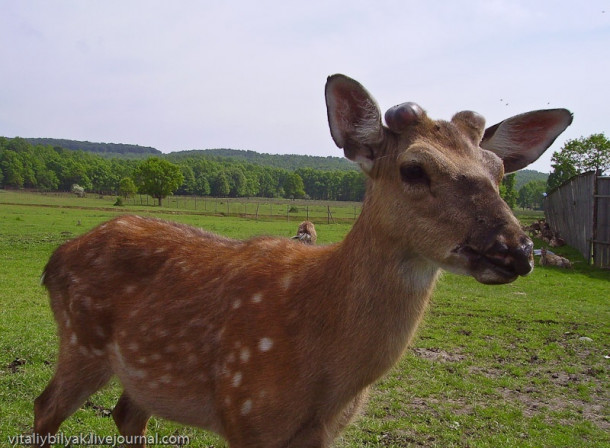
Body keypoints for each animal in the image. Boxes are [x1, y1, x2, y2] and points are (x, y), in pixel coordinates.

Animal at [33, 75, 568, 446]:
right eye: (414, 169)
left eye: (499, 171)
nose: (517, 249)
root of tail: (55, 258)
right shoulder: (245, 411)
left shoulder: (323, 433)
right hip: (81, 341)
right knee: (44, 408)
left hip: (142, 375)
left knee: (125, 415)